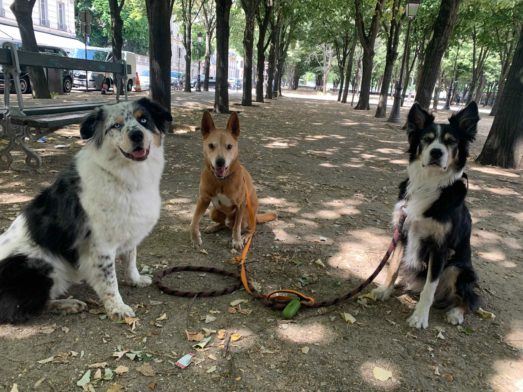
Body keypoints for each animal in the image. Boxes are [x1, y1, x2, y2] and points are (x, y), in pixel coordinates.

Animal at [190, 112, 276, 250]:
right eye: (211, 145)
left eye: (229, 146)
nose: (220, 162)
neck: (221, 181)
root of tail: (255, 217)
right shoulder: (203, 199)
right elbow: (194, 220)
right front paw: (195, 239)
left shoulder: (240, 204)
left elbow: (236, 227)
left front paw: (237, 240)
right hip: (213, 212)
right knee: (224, 224)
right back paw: (214, 227)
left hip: (247, 217)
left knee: (250, 229)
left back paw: (245, 236)